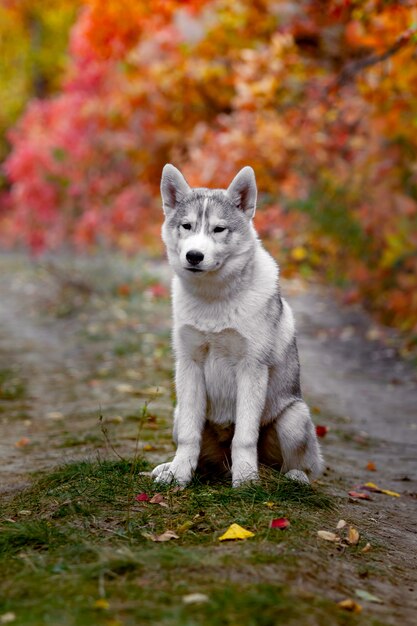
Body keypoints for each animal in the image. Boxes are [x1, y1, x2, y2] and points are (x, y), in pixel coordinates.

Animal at [151, 163, 324, 486]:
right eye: (187, 226)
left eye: (219, 229)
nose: (194, 256)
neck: (214, 299)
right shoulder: (189, 365)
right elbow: (189, 438)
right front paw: (178, 475)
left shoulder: (251, 368)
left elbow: (244, 437)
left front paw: (245, 480)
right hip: (178, 415)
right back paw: (171, 467)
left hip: (293, 419)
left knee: (296, 466)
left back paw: (294, 478)